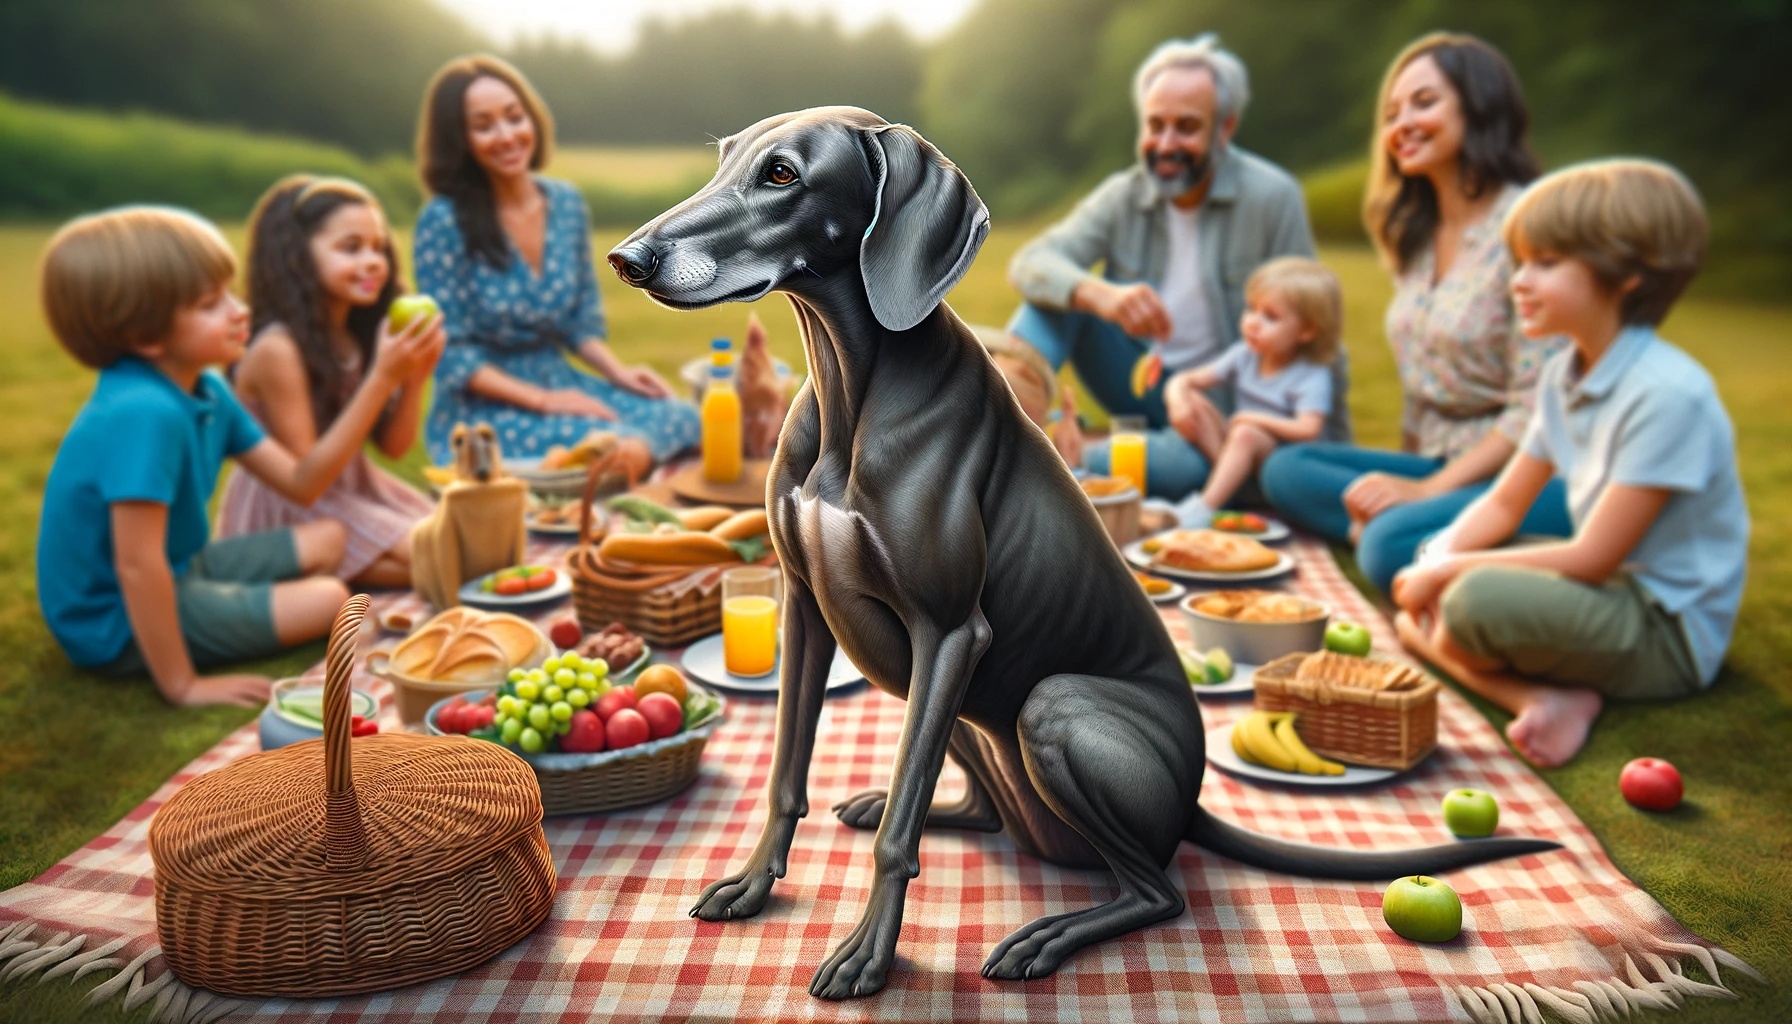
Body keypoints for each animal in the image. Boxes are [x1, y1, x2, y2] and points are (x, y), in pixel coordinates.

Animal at [605, 108, 1555, 997]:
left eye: (781, 174)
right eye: (725, 157)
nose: (627, 258)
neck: (851, 394)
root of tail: (1192, 799)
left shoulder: (950, 631)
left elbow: (897, 836)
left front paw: (869, 955)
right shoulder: (806, 610)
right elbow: (786, 774)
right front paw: (752, 885)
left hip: (1048, 705)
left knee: (1156, 891)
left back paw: (1047, 937)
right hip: (958, 708)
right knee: (986, 812)